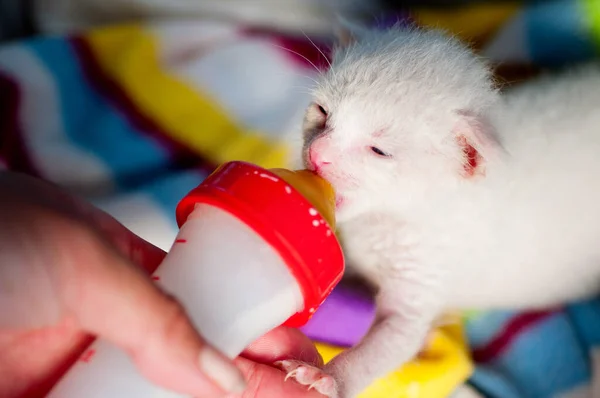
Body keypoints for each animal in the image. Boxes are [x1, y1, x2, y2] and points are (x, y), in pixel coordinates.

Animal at [278, 25, 600, 398]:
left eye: (379, 151)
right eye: (322, 111)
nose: (317, 153)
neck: (390, 220)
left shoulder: (428, 273)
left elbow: (397, 338)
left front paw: (329, 377)